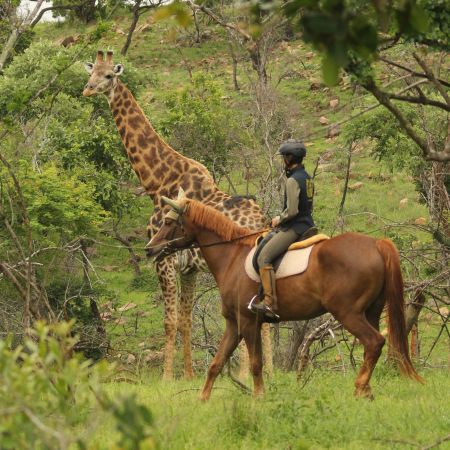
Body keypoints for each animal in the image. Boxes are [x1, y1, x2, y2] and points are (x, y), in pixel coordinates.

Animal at [82, 49, 270, 380]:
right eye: (90, 73)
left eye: (108, 75)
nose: (87, 90)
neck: (157, 182)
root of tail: (265, 222)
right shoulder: (189, 268)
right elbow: (185, 320)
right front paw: (190, 375)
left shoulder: (163, 259)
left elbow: (169, 321)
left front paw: (168, 377)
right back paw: (274, 371)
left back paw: (247, 374)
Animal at [145, 193, 422, 400]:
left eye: (168, 222)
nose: (149, 249)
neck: (231, 257)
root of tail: (376, 244)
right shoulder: (234, 323)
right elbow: (217, 363)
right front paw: (202, 399)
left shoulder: (249, 322)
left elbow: (256, 364)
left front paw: (258, 398)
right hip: (371, 311)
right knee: (370, 347)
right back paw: (366, 391)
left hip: (348, 313)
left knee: (374, 342)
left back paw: (359, 388)